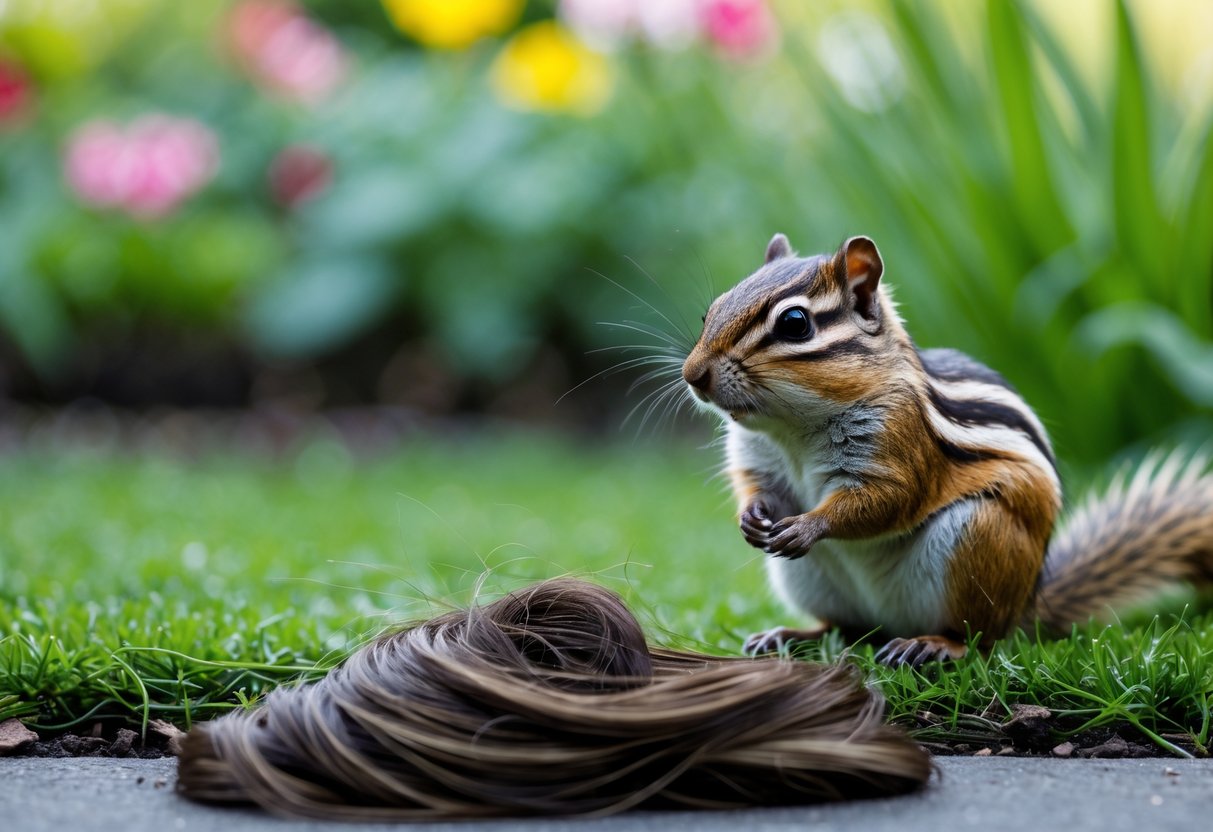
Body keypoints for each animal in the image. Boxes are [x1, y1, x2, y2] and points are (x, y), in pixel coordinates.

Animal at [681, 233, 1213, 666]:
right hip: (813, 583)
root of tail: (1027, 606)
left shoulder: (899, 445)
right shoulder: (758, 457)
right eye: (713, 309)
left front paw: (810, 524)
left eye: (795, 323)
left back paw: (933, 645)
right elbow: (757, 486)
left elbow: (885, 501)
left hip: (979, 540)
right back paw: (790, 636)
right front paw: (752, 516)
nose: (693, 375)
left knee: (979, 640)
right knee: (844, 629)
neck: (793, 429)